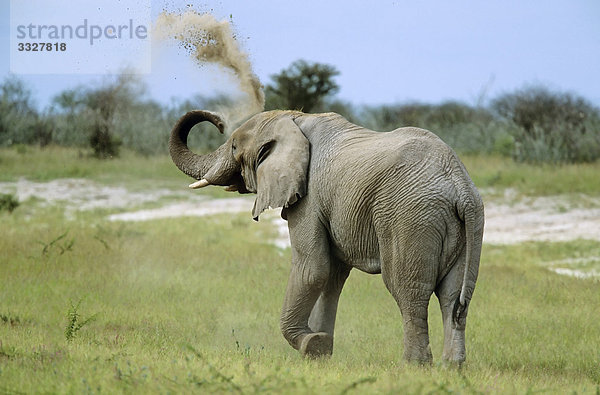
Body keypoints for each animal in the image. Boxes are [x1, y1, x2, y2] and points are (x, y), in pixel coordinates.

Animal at [168, 109, 482, 366]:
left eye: (234, 146)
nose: (219, 122)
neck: (294, 118)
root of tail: (460, 186)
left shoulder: (309, 198)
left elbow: (313, 269)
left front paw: (311, 345)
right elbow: (332, 275)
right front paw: (320, 353)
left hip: (410, 217)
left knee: (408, 290)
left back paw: (413, 367)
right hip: (465, 225)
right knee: (453, 297)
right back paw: (452, 367)